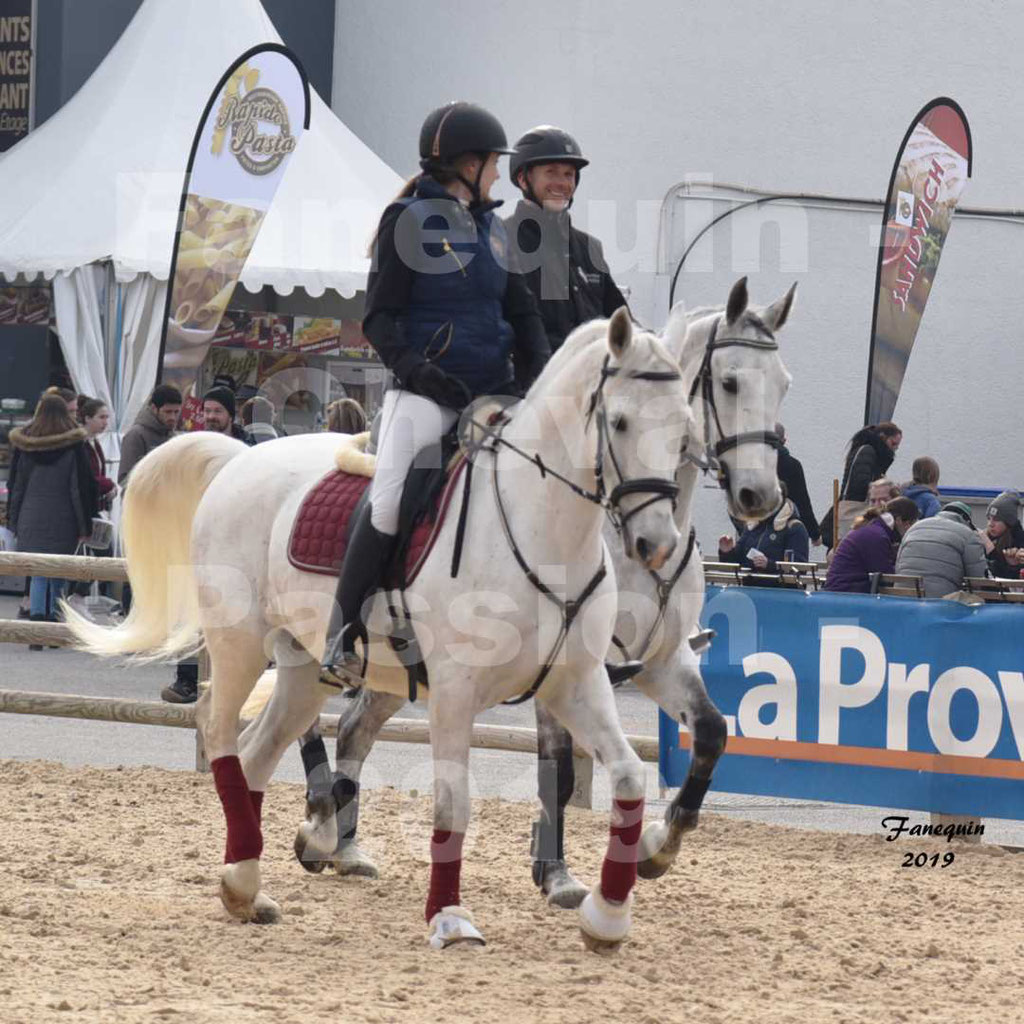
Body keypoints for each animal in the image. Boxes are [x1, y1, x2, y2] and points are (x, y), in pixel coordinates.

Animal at [64, 309, 688, 950]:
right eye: (620, 421)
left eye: (684, 429)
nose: (656, 545)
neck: (538, 526)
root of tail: (239, 459)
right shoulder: (456, 693)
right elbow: (453, 806)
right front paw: (449, 917)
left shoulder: (576, 682)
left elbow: (629, 778)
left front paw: (606, 916)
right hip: (239, 643)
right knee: (218, 730)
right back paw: (254, 873)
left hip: (303, 669)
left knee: (256, 753)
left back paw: (244, 888)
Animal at [292, 274, 794, 905]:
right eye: (729, 383)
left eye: (783, 385)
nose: (760, 497)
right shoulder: (562, 671)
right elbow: (557, 763)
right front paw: (555, 872)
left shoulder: (660, 661)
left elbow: (710, 732)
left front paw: (659, 846)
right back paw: (319, 823)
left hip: (395, 666)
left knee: (355, 727)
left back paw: (342, 845)